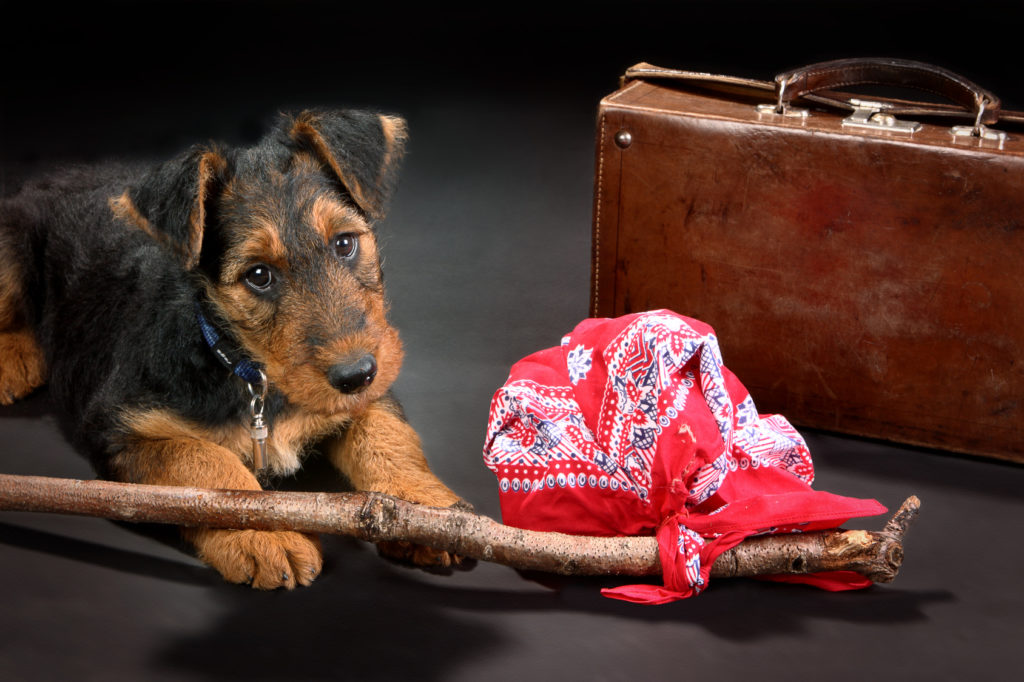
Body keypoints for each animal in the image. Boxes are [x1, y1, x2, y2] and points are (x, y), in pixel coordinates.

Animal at [0, 109, 464, 585]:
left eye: (345, 243)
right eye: (258, 275)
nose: (356, 374)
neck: (244, 367)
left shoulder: (371, 394)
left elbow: (387, 435)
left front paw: (423, 509)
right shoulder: (117, 426)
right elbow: (203, 462)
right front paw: (265, 533)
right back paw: (13, 360)